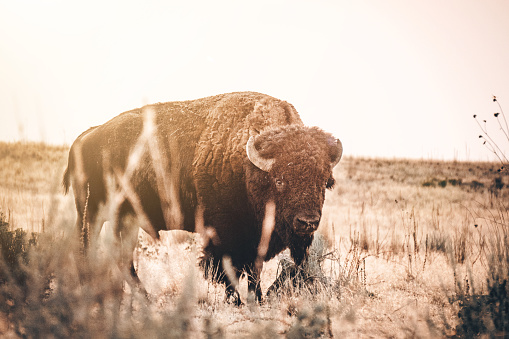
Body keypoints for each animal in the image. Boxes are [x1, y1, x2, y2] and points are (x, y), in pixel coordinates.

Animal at [63, 91, 342, 304]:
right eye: (280, 180)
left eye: (325, 182)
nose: (307, 222)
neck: (248, 166)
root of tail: (86, 137)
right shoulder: (224, 235)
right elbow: (229, 269)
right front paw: (236, 301)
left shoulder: (256, 239)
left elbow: (254, 270)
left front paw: (257, 299)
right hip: (92, 214)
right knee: (86, 248)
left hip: (126, 219)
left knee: (122, 258)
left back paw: (143, 297)